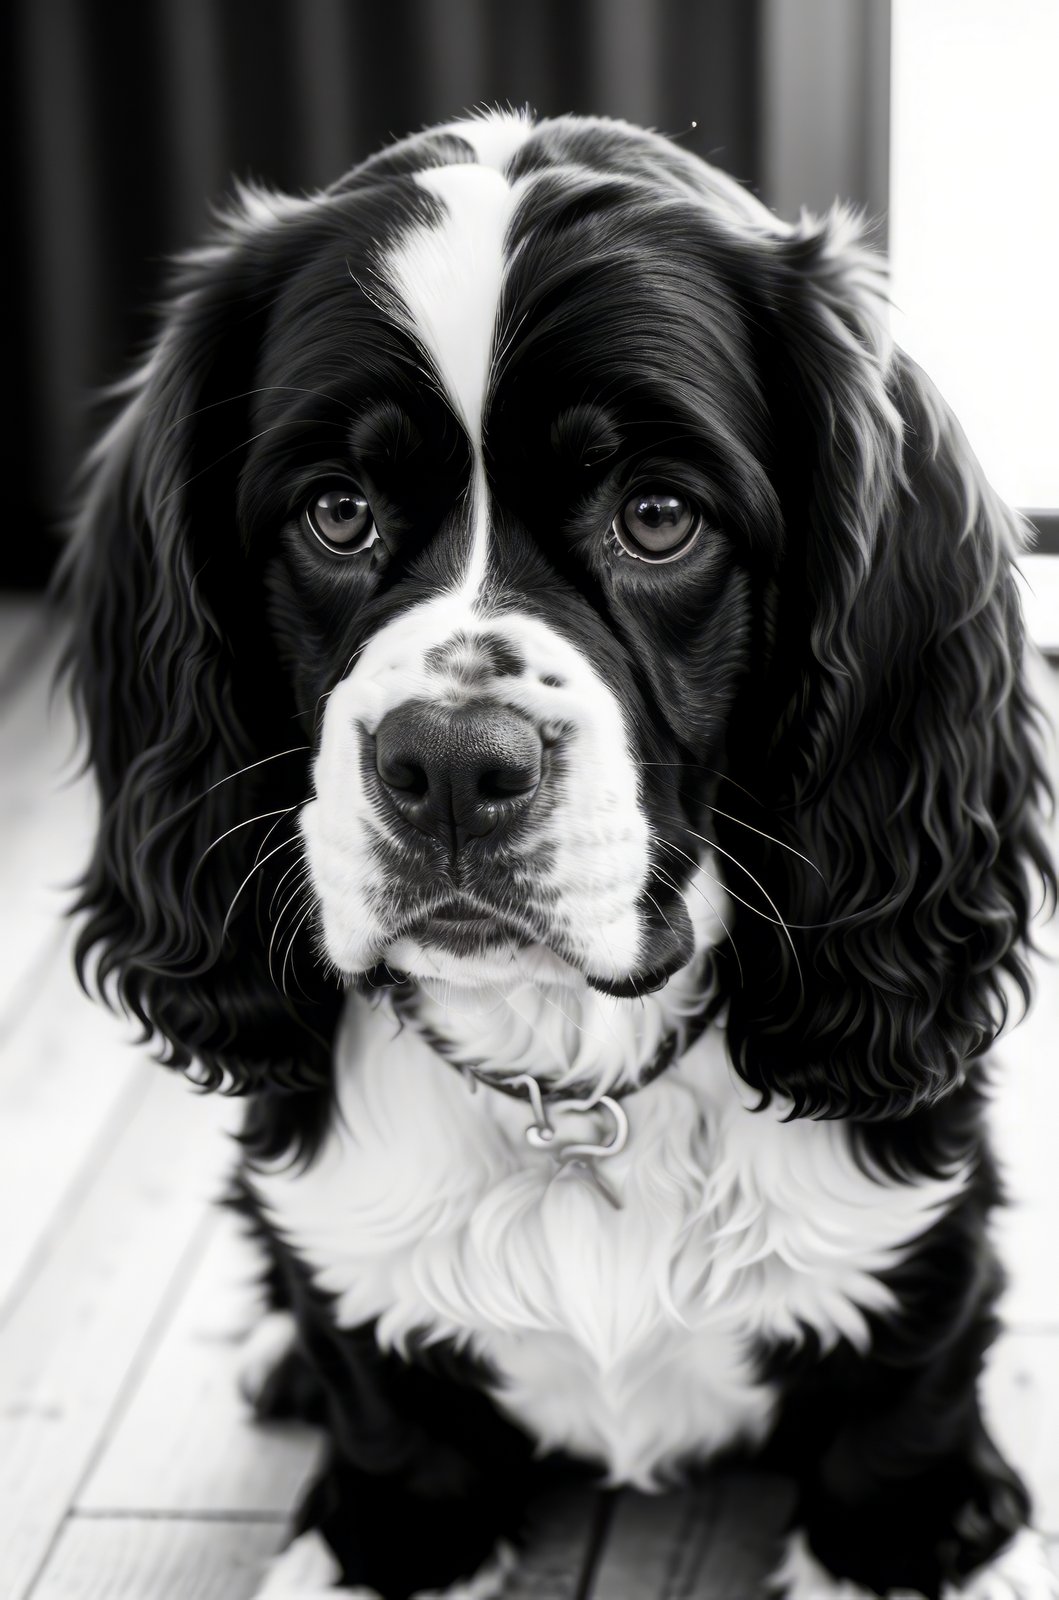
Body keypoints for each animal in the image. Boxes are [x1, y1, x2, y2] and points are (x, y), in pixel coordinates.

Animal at [66, 112, 1059, 1600]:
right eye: (336, 512)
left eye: (658, 516)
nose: (449, 765)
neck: (569, 1080)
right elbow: (387, 1420)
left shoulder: (919, 1249)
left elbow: (908, 1417)